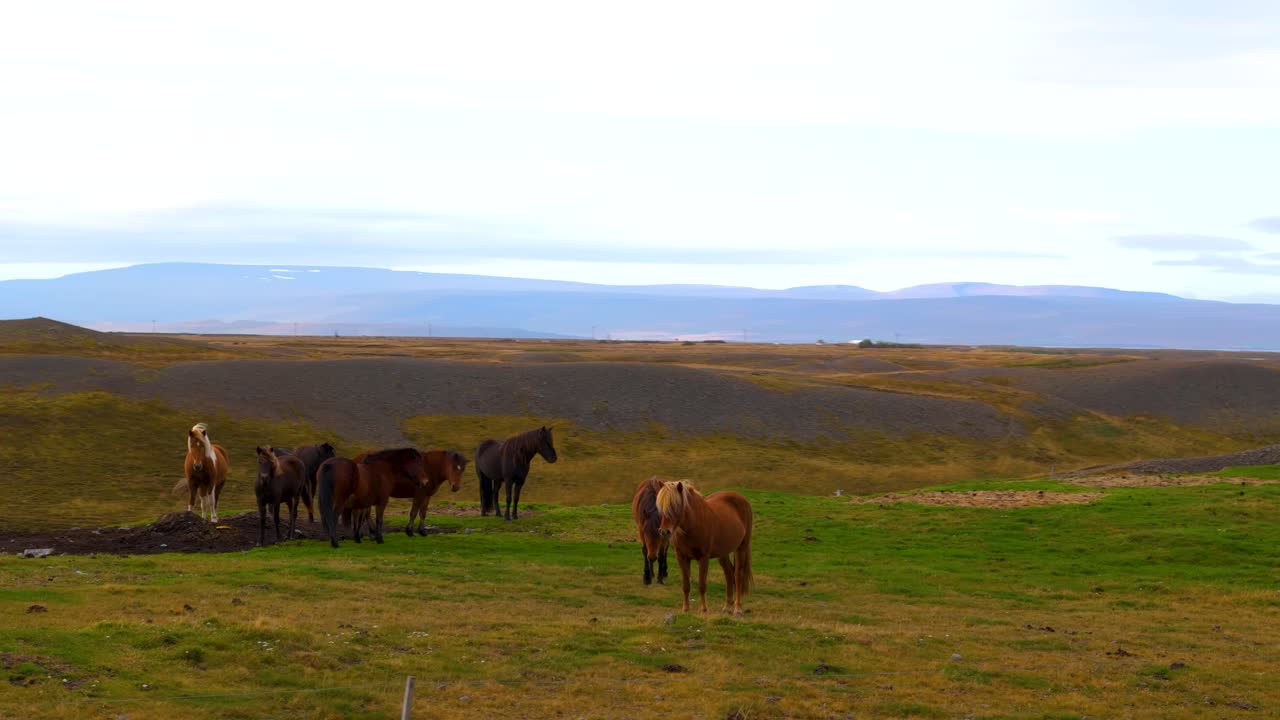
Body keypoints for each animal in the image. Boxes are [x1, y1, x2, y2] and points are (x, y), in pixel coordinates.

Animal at [656, 481, 753, 615]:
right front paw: (685, 609)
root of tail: (742, 499)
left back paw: (737, 609)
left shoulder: (703, 558)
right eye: (660, 507)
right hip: (723, 553)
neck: (693, 524)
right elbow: (686, 585)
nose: (664, 532)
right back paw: (727, 606)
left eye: (675, 506)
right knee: (729, 574)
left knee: (738, 575)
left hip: (741, 548)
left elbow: (702, 585)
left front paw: (703, 609)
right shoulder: (682, 557)